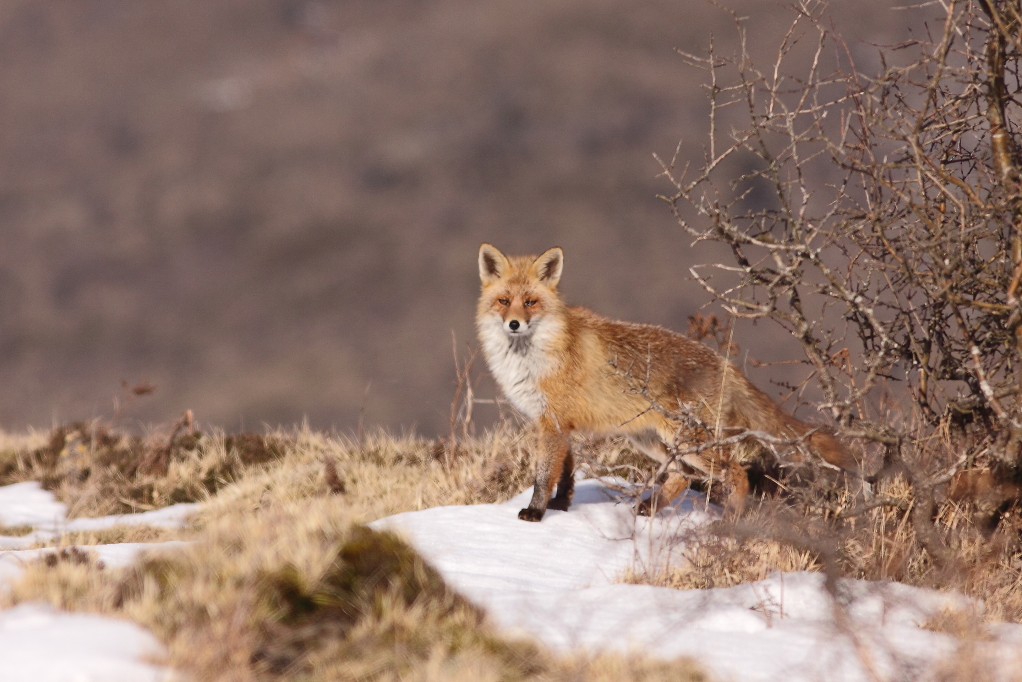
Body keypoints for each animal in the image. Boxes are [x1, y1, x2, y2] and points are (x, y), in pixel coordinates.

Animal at [474, 244, 858, 523]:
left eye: (531, 302)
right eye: (504, 301)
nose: (514, 324)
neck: (534, 356)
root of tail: (724, 363)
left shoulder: (552, 423)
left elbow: (543, 475)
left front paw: (536, 512)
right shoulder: (560, 423)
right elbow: (565, 473)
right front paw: (561, 506)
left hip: (686, 439)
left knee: (735, 473)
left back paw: (729, 524)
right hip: (650, 438)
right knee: (683, 475)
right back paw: (651, 508)